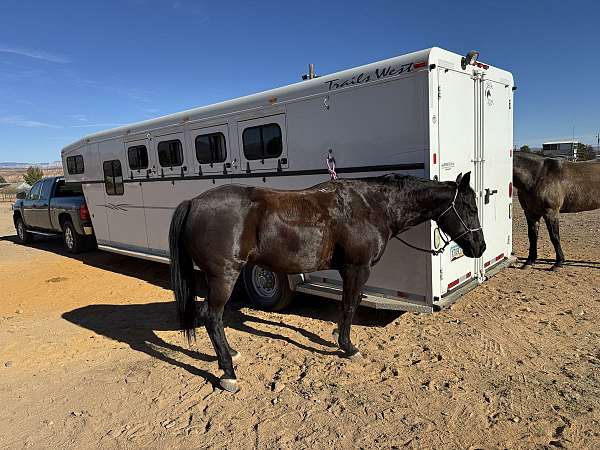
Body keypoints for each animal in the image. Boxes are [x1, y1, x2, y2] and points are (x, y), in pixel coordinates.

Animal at [166, 171, 486, 390]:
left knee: (214, 318)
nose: (480, 247)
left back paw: (229, 354)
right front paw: (349, 347)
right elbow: (349, 307)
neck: (371, 206)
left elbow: (346, 306)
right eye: (470, 208)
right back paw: (229, 373)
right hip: (224, 277)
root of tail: (193, 203)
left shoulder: (347, 270)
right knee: (211, 316)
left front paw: (339, 340)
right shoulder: (357, 269)